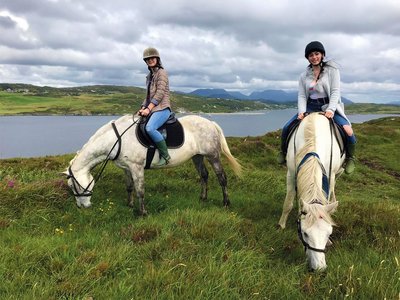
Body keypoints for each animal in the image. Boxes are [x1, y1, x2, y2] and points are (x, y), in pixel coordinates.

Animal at [64, 113, 242, 214]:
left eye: (73, 185)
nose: (82, 207)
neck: (117, 139)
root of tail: (210, 123)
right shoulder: (126, 168)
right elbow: (129, 187)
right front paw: (129, 204)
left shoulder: (137, 167)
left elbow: (140, 190)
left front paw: (143, 212)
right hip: (197, 156)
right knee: (204, 175)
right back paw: (203, 198)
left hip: (213, 156)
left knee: (222, 178)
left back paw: (226, 203)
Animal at [276, 113, 346, 272]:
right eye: (305, 233)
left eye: (329, 233)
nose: (319, 268)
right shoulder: (291, 173)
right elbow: (288, 203)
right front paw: (281, 225)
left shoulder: (330, 175)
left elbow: (327, 197)